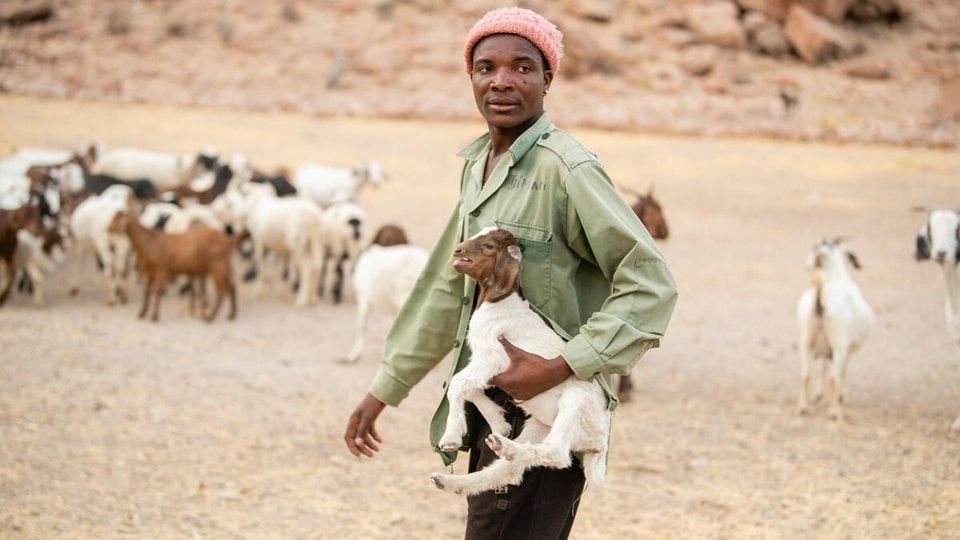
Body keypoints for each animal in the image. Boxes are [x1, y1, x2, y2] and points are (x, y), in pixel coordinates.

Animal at [109, 211, 242, 322]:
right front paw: (142, 313)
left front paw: (154, 316)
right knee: (231, 287)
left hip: (217, 267)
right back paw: (231, 315)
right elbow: (146, 292)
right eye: (114, 218)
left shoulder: (161, 270)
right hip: (224, 267)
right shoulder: (150, 273)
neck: (149, 242)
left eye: (118, 220)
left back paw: (210, 317)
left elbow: (158, 292)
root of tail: (227, 240)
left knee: (222, 291)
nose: (109, 228)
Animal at [430, 227, 610, 496]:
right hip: (540, 426)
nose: (458, 250)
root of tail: (600, 442)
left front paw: (451, 437)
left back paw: (506, 448)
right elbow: (467, 385)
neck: (499, 302)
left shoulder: (495, 356)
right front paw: (499, 422)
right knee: (509, 471)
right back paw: (455, 478)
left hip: (575, 404)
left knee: (557, 453)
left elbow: (458, 383)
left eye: (489, 246)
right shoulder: (482, 360)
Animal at [796, 238, 874, 422]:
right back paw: (834, 411)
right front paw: (840, 397)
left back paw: (803, 407)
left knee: (805, 374)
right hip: (839, 344)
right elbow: (841, 372)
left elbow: (823, 367)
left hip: (806, 340)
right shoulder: (845, 348)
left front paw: (818, 395)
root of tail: (821, 295)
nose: (808, 266)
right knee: (833, 378)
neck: (837, 277)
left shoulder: (824, 348)